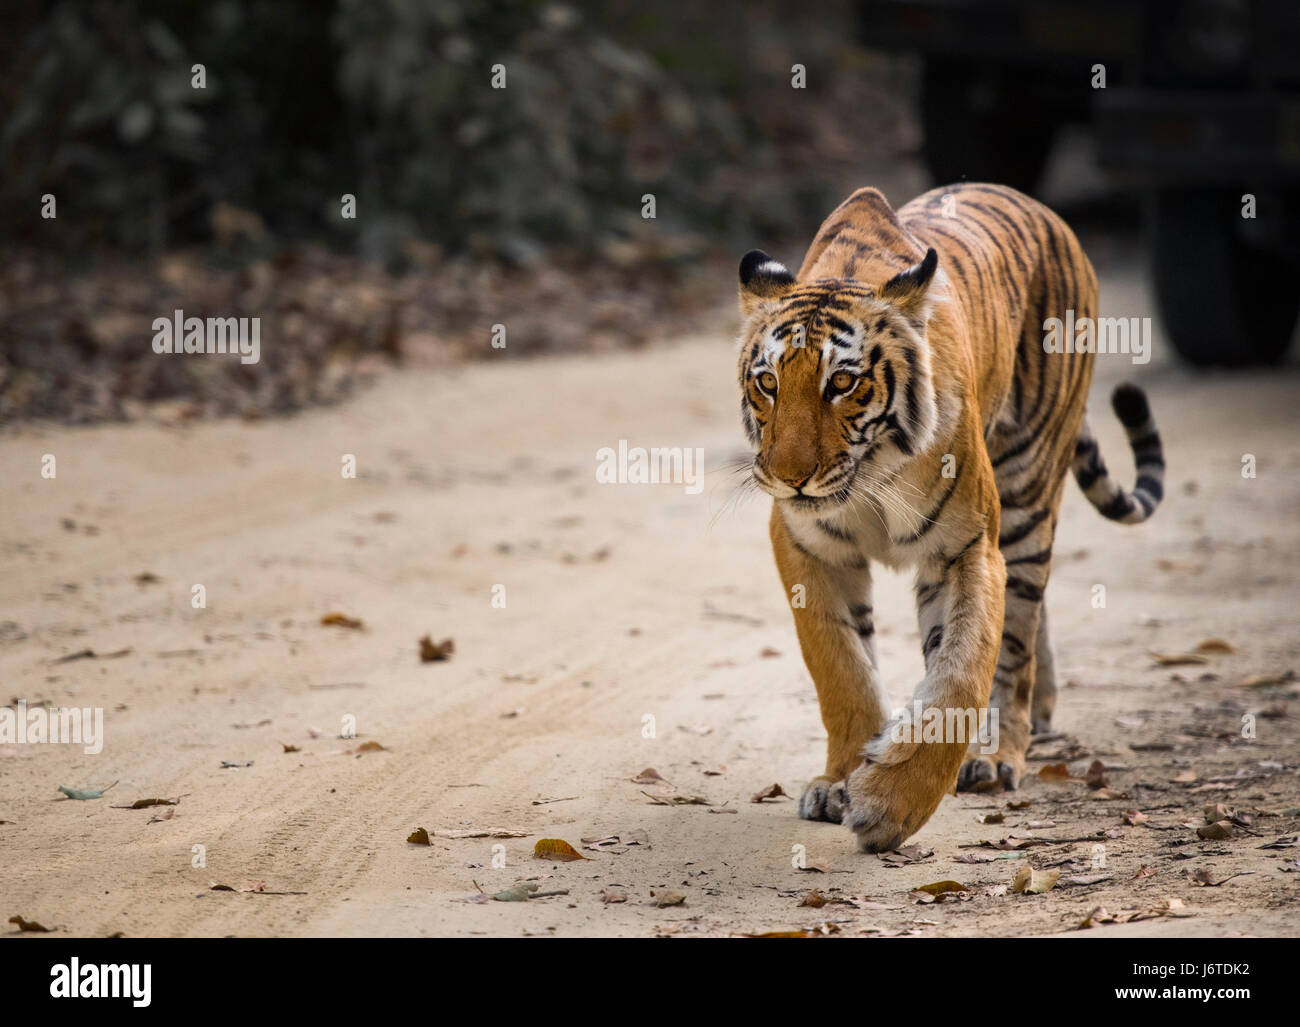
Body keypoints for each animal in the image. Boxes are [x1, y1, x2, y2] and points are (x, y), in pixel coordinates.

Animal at [738, 183, 1164, 852]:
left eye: (842, 383)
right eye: (767, 383)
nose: (789, 476)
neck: (870, 477)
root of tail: (1044, 212)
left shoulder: (966, 547)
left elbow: (963, 671)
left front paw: (891, 804)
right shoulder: (810, 548)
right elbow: (842, 670)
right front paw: (839, 782)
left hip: (1026, 494)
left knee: (1018, 635)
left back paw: (1000, 753)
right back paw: (1041, 713)